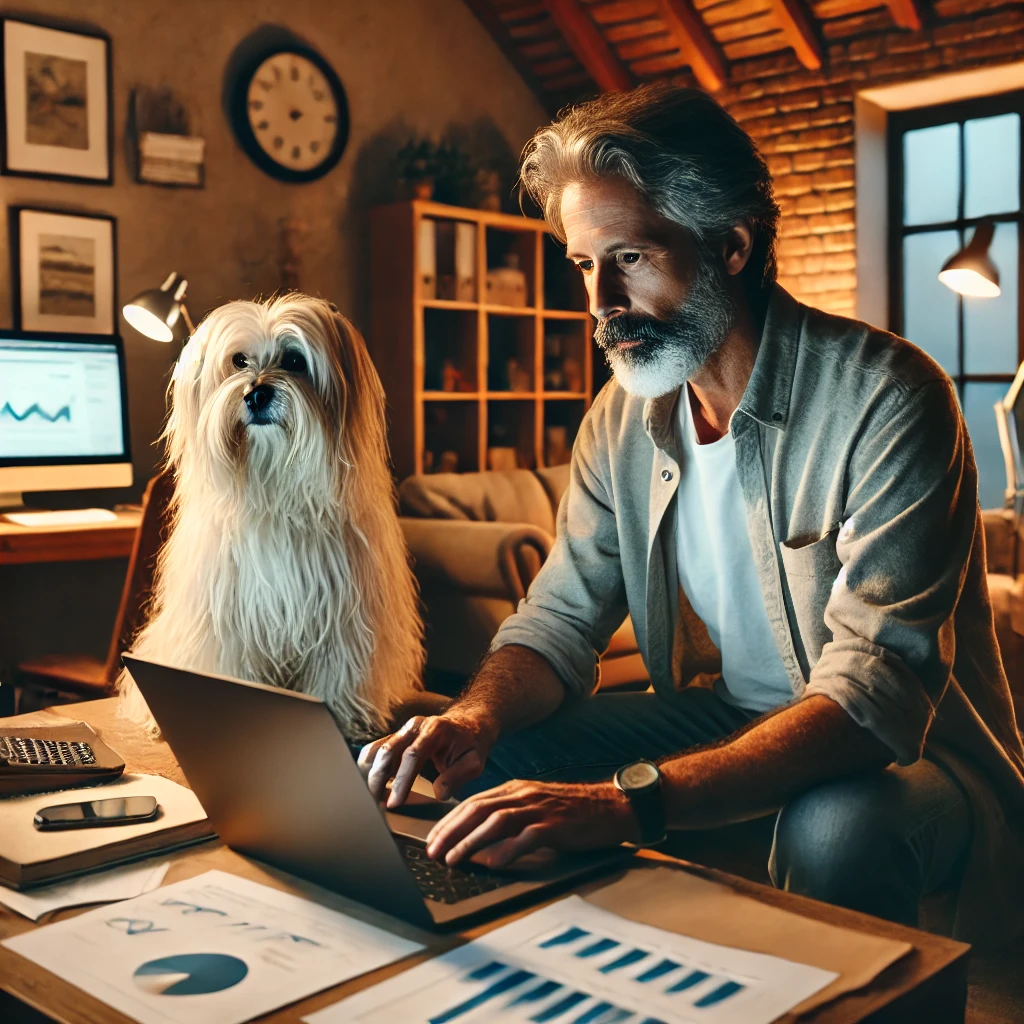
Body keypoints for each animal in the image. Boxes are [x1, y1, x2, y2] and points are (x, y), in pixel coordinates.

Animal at [120, 292, 423, 741]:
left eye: (295, 360)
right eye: (239, 361)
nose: (256, 394)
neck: (274, 488)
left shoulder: (343, 612)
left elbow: (339, 668)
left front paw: (344, 720)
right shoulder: (228, 612)